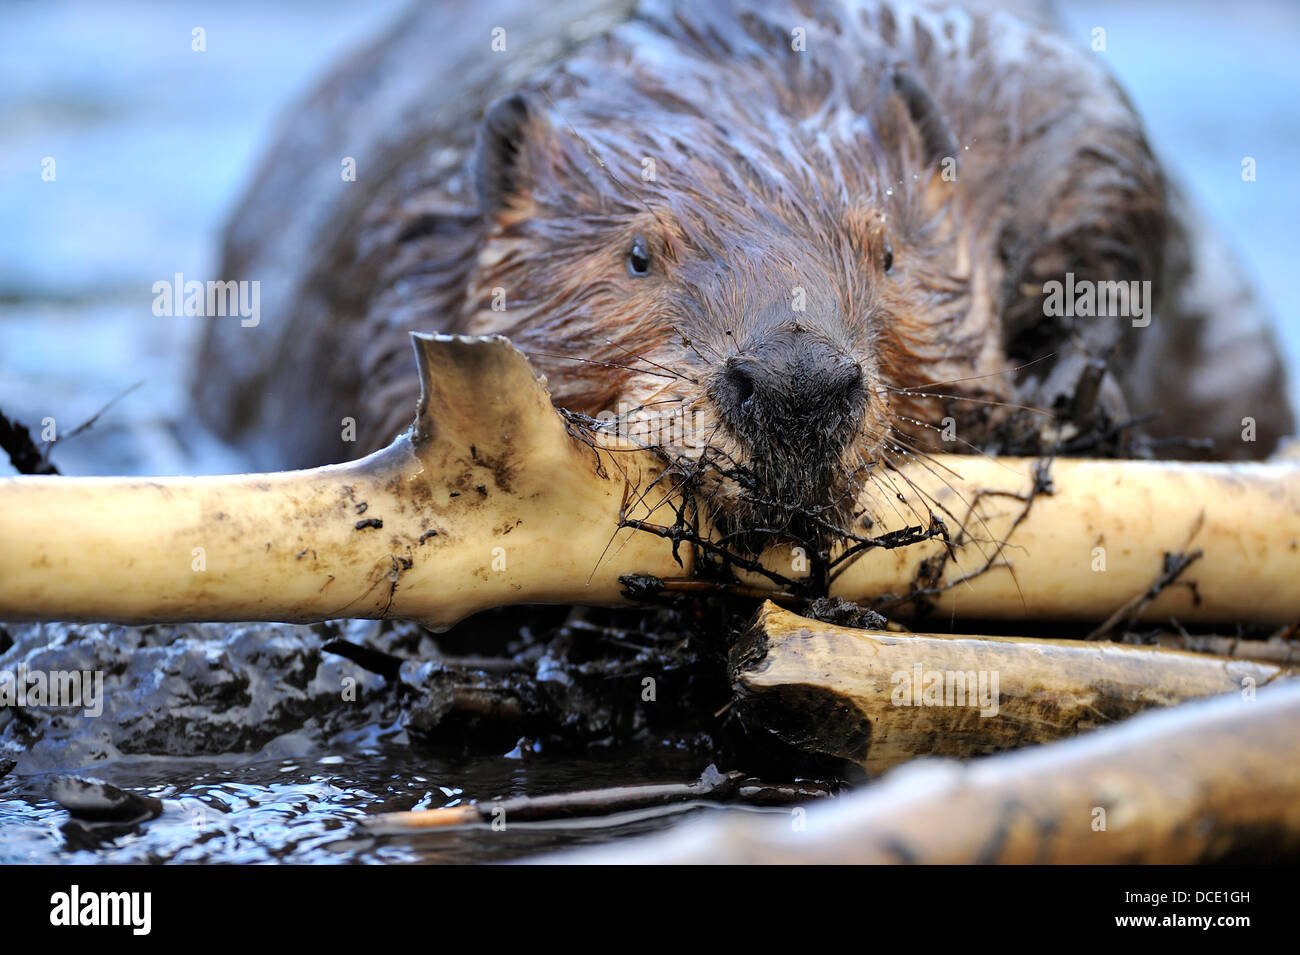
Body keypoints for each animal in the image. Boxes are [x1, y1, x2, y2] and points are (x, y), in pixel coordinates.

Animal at [195, 0, 1300, 548]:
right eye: (638, 254)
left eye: (887, 251)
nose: (797, 380)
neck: (739, 92)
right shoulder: (391, 254)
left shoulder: (1036, 92)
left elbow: (1121, 217)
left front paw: (1070, 393)